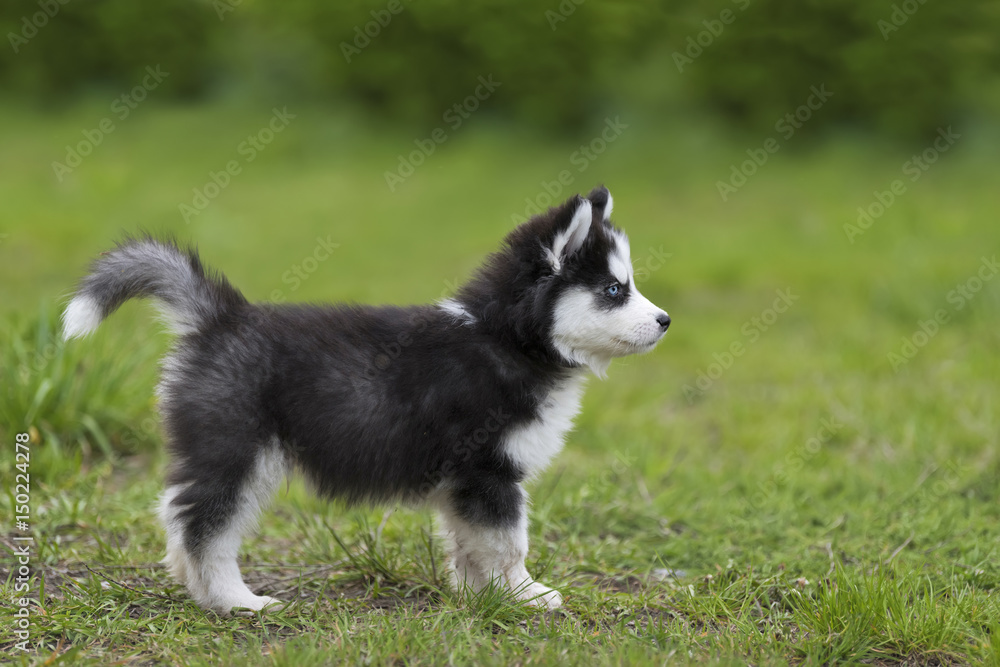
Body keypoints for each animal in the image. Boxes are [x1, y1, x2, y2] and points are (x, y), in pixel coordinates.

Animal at [62, 185, 672, 612]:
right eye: (614, 290)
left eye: (629, 285)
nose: (666, 321)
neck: (504, 338)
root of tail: (223, 316)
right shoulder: (488, 470)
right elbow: (507, 543)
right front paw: (526, 595)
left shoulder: (467, 484)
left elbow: (469, 546)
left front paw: (482, 599)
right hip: (236, 451)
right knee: (201, 525)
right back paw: (235, 601)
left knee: (179, 516)